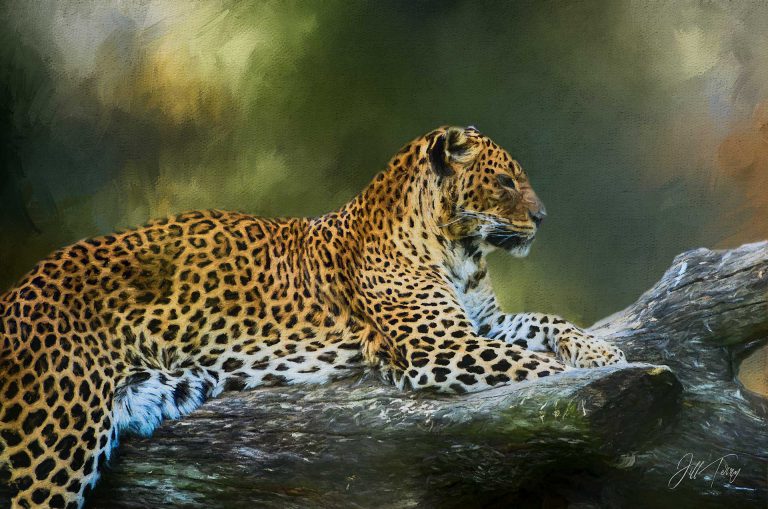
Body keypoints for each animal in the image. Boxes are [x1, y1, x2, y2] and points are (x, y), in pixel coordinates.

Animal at [0, 126, 626, 508]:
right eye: (503, 180)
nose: (542, 218)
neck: (461, 251)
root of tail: (15, 294)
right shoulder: (440, 346)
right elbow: (535, 366)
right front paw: (603, 375)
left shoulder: (477, 325)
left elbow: (544, 322)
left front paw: (604, 351)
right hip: (48, 449)